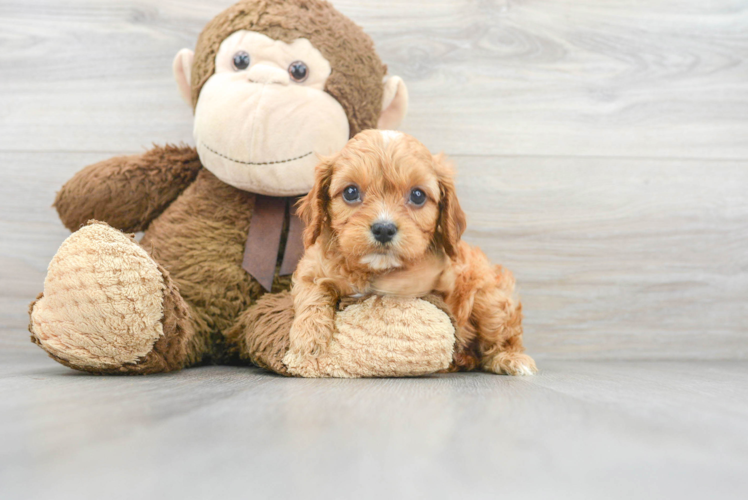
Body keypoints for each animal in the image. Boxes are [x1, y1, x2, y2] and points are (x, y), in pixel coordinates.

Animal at [286, 129, 536, 376]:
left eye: (417, 195)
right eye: (350, 192)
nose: (384, 229)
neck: (372, 268)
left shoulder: (443, 274)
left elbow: (408, 281)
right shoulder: (311, 266)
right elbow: (312, 292)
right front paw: (307, 340)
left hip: (490, 298)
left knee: (503, 335)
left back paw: (511, 358)